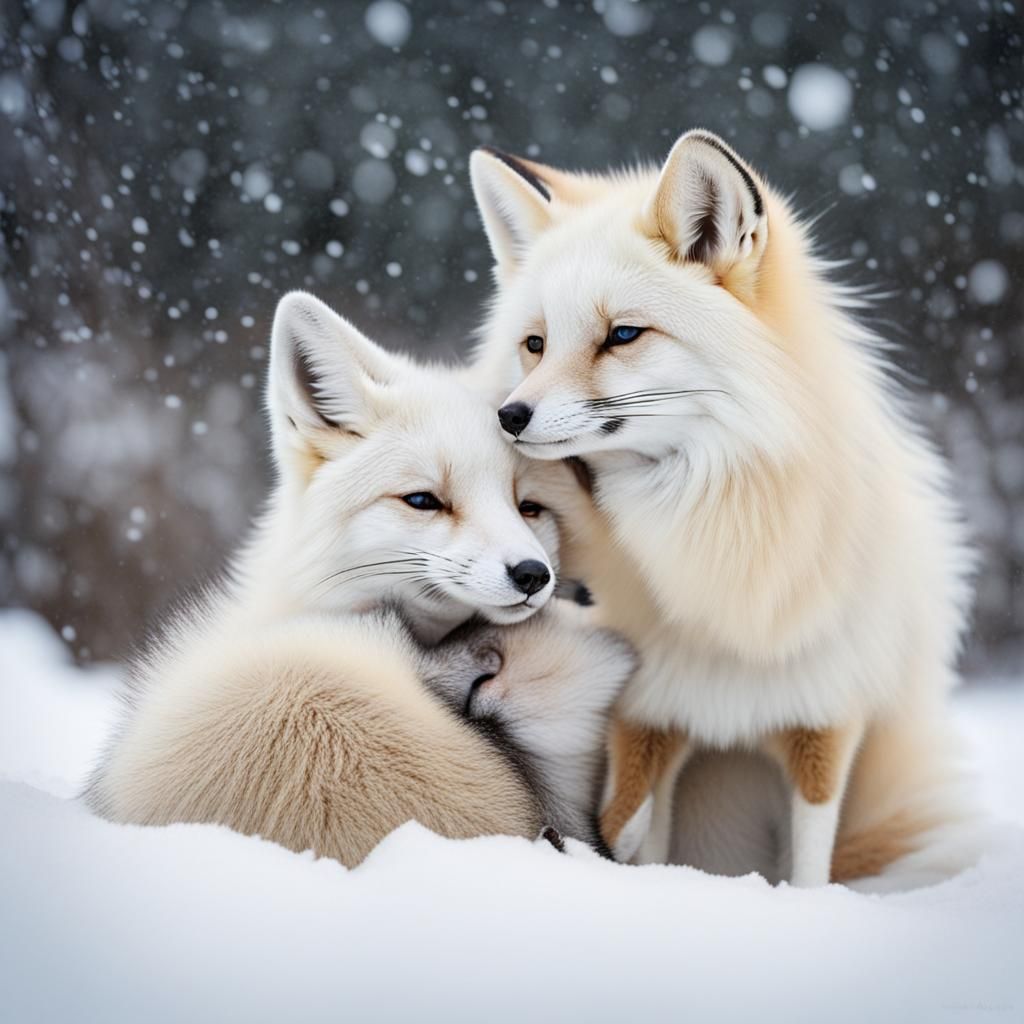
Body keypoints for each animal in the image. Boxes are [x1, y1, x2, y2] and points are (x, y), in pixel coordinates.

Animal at [469, 130, 981, 888]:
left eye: (623, 335)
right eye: (534, 344)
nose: (508, 416)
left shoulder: (825, 715)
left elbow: (810, 864)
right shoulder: (652, 718)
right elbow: (640, 841)